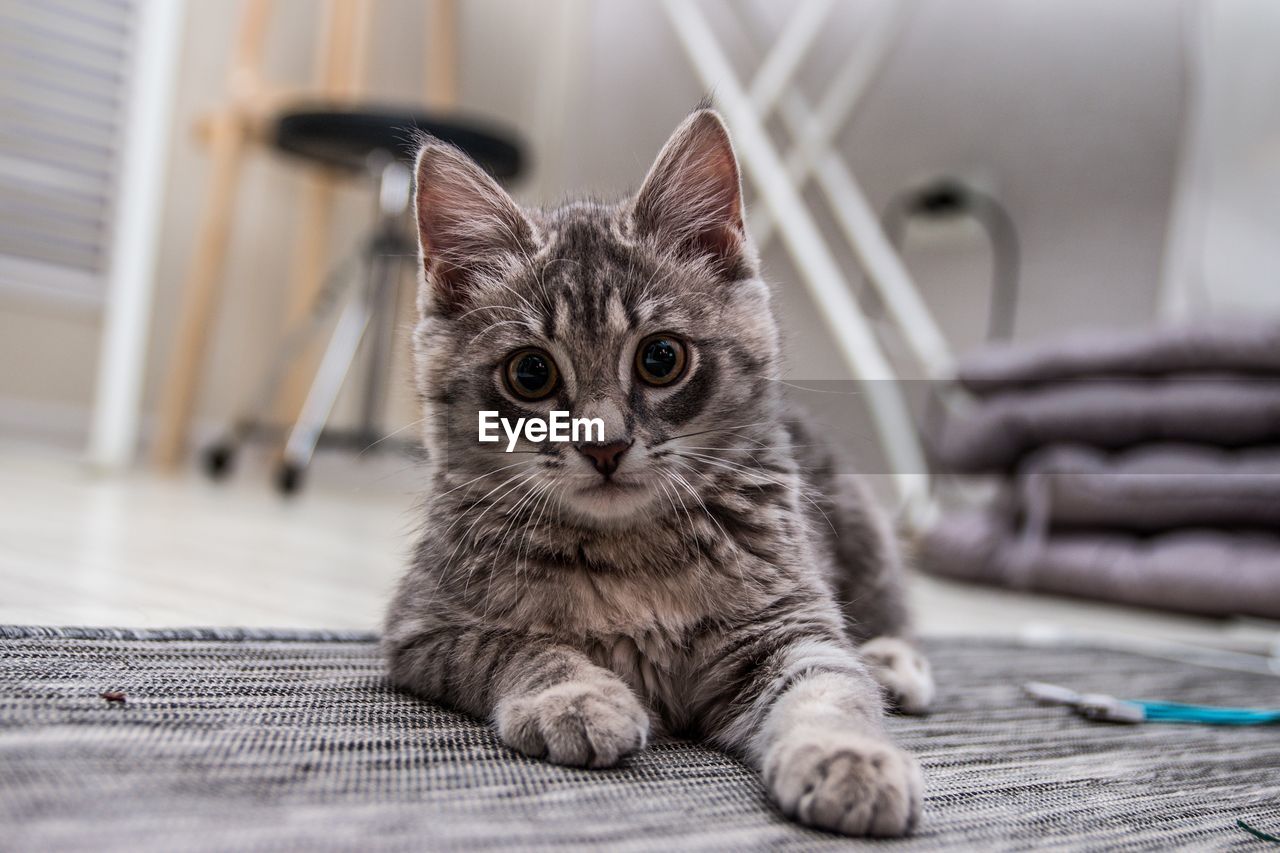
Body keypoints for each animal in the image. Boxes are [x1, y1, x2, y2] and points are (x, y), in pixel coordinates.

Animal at [384, 109, 936, 835]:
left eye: (661, 358)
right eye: (530, 373)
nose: (605, 446)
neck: (630, 556)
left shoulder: (782, 622)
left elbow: (827, 682)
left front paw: (849, 756)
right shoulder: (425, 627)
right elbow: (521, 646)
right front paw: (577, 695)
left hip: (861, 530)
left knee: (882, 616)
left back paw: (892, 662)